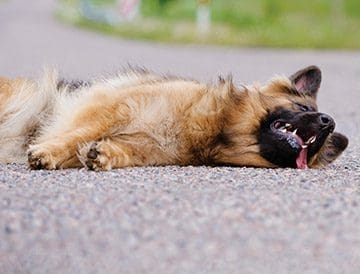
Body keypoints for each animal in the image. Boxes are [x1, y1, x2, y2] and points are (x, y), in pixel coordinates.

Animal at [0, 65, 348, 170]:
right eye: (304, 109)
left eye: (320, 145)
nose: (329, 122)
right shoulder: (115, 106)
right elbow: (77, 134)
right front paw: (48, 151)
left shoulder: (148, 149)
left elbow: (119, 150)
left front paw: (103, 154)